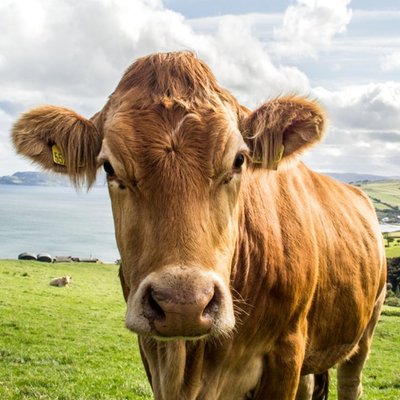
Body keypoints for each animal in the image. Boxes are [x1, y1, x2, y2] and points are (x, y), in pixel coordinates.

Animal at [13, 51, 388, 398]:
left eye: (239, 160)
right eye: (109, 167)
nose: (183, 304)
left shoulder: (287, 351)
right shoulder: (152, 352)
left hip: (366, 327)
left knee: (351, 381)